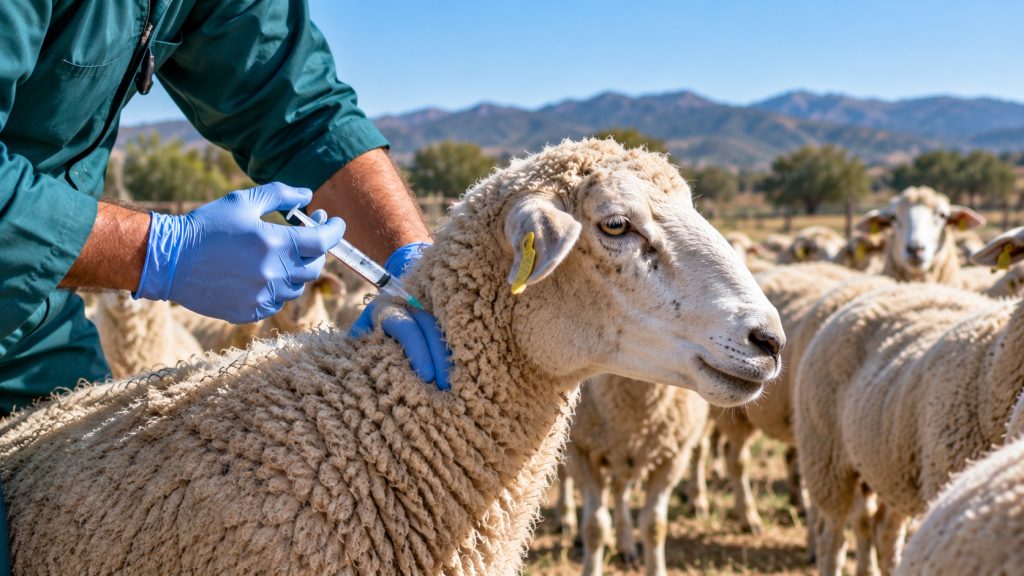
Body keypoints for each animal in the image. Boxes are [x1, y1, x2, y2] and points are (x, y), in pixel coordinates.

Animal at [564, 376, 710, 576]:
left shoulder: (674, 455)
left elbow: (654, 526)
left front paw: (656, 569)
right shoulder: (580, 450)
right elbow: (595, 527)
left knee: (619, 490)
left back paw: (626, 545)